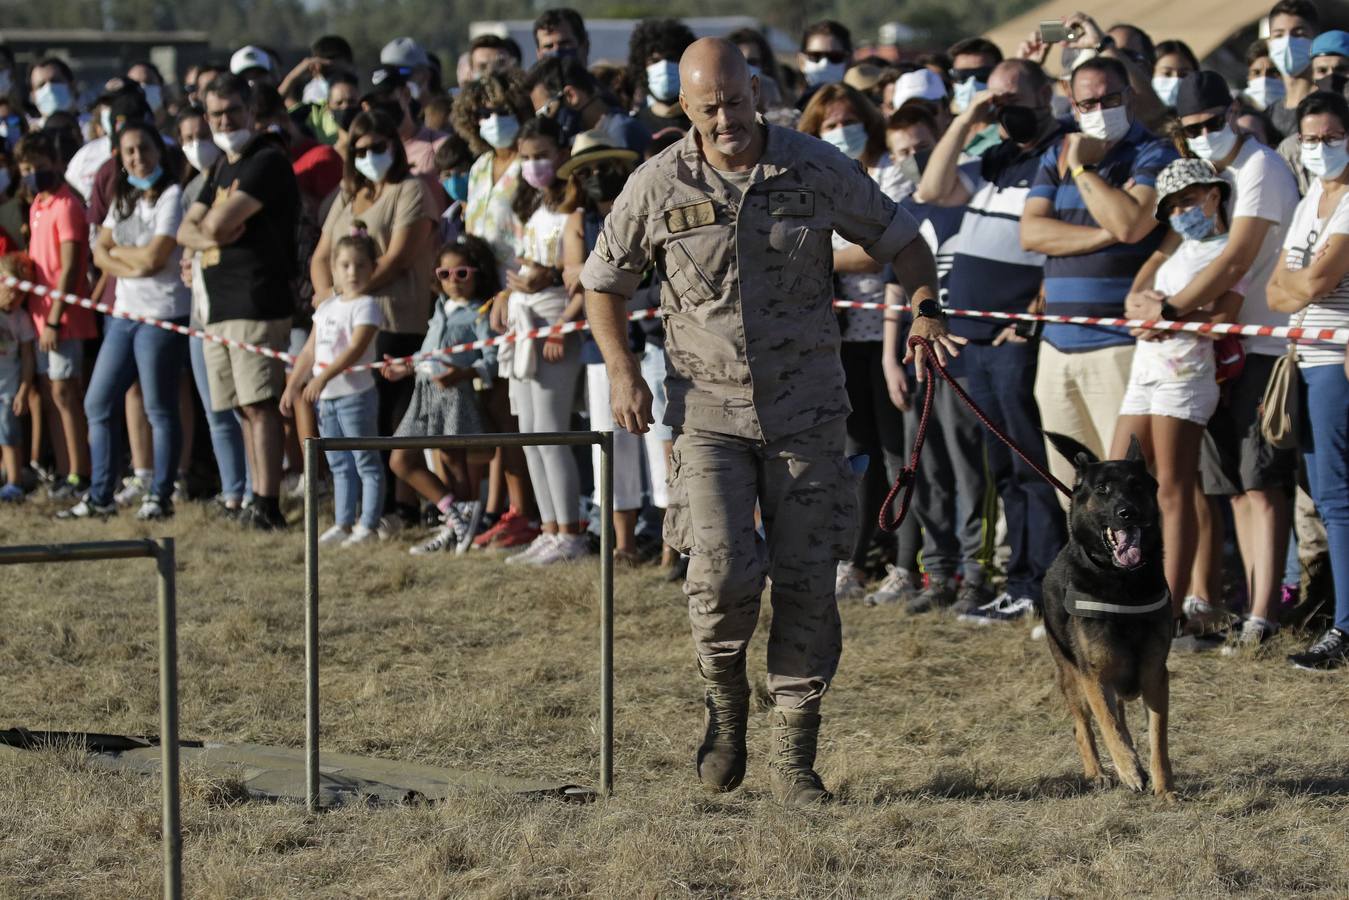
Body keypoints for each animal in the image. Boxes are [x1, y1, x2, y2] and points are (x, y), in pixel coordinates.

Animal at [1041, 431, 1170, 798]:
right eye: (1103, 490)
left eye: (1136, 485)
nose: (1128, 513)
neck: (1122, 582)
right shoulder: (1093, 676)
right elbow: (1107, 724)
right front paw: (1128, 769)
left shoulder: (1155, 675)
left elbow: (1157, 738)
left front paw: (1164, 789)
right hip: (1071, 678)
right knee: (1083, 727)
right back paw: (1098, 773)